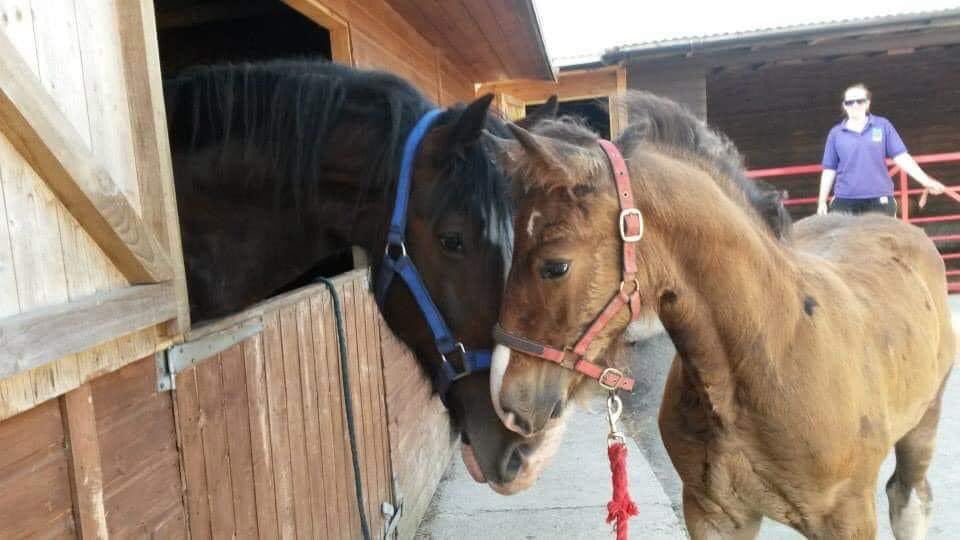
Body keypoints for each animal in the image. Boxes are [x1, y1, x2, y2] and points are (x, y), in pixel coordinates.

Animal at [492, 93, 956, 536]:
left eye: (555, 266)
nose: (508, 406)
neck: (773, 356)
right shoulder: (712, 513)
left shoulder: (848, 516)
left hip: (924, 420)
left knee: (909, 497)